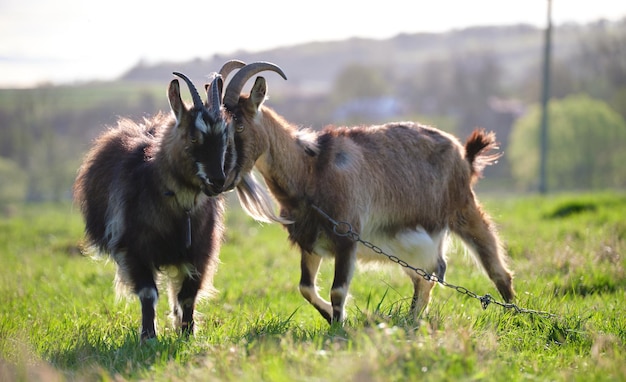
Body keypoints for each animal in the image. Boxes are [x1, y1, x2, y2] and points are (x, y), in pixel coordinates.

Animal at [74, 71, 235, 340]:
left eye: (225, 137)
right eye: (193, 136)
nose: (218, 181)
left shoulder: (200, 251)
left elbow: (187, 295)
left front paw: (187, 333)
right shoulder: (133, 249)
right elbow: (148, 294)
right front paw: (148, 336)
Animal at [222, 62, 516, 326]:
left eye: (239, 125)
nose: (222, 178)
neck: (310, 169)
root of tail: (463, 154)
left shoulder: (347, 237)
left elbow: (338, 290)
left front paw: (337, 328)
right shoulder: (310, 242)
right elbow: (305, 287)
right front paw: (331, 317)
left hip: (462, 210)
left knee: (497, 268)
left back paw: (513, 316)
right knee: (425, 278)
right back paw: (411, 320)